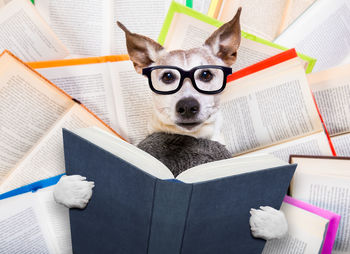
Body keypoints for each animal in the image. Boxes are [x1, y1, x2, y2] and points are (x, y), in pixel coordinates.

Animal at [54, 7, 288, 241]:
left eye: (205, 74)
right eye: (167, 76)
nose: (187, 106)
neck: (189, 139)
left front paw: (270, 222)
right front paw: (70, 189)